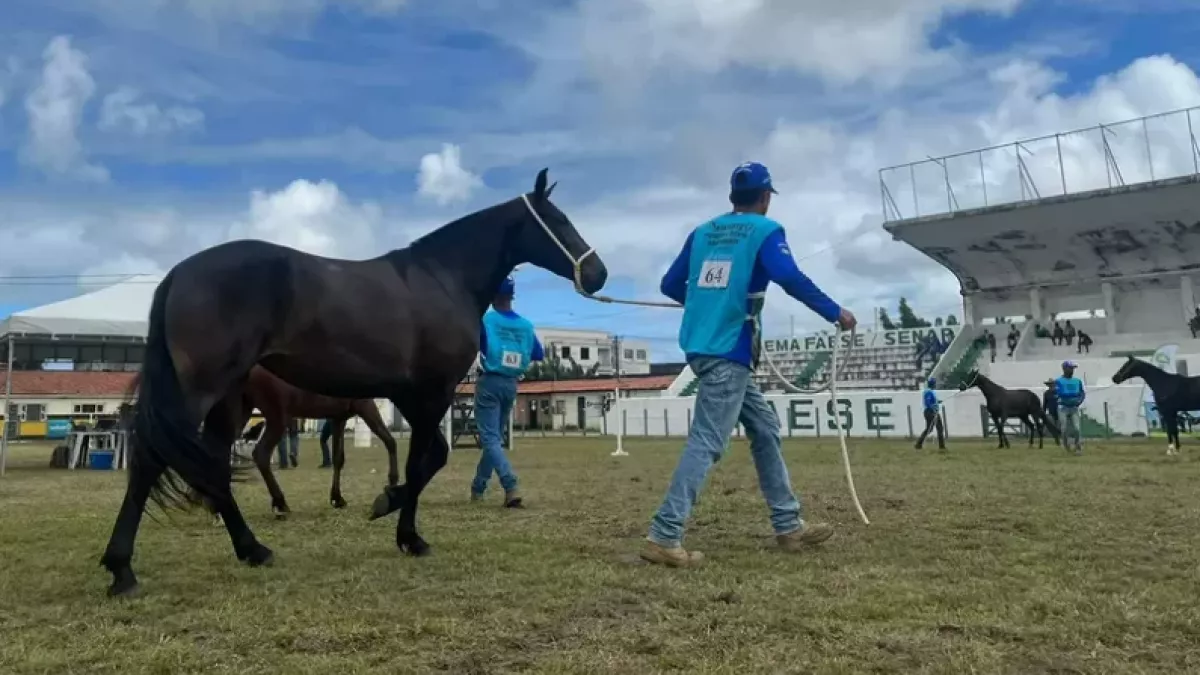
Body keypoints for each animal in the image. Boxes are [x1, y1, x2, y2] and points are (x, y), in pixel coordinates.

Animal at [99, 168, 607, 598]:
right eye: (558, 220)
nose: (598, 272)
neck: (440, 278)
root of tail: (178, 274)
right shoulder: (432, 393)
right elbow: (423, 463)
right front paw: (407, 532)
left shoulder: (409, 397)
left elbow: (427, 459)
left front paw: (387, 505)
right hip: (202, 392)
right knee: (153, 460)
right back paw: (125, 569)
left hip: (227, 401)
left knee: (206, 463)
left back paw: (248, 548)